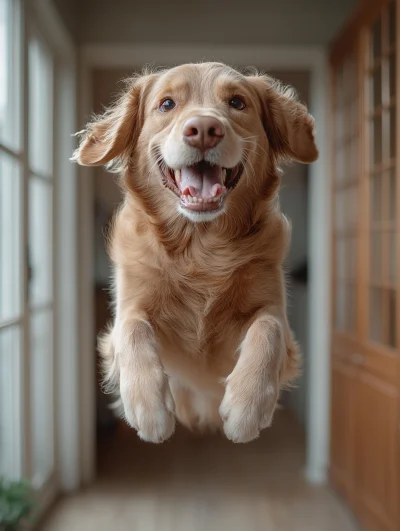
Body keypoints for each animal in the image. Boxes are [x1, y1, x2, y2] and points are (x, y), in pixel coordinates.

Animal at [73, 62, 318, 444]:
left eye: (237, 102)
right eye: (167, 104)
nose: (204, 129)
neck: (201, 250)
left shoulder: (274, 308)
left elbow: (268, 329)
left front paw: (247, 408)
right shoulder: (129, 305)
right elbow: (132, 328)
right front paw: (149, 407)